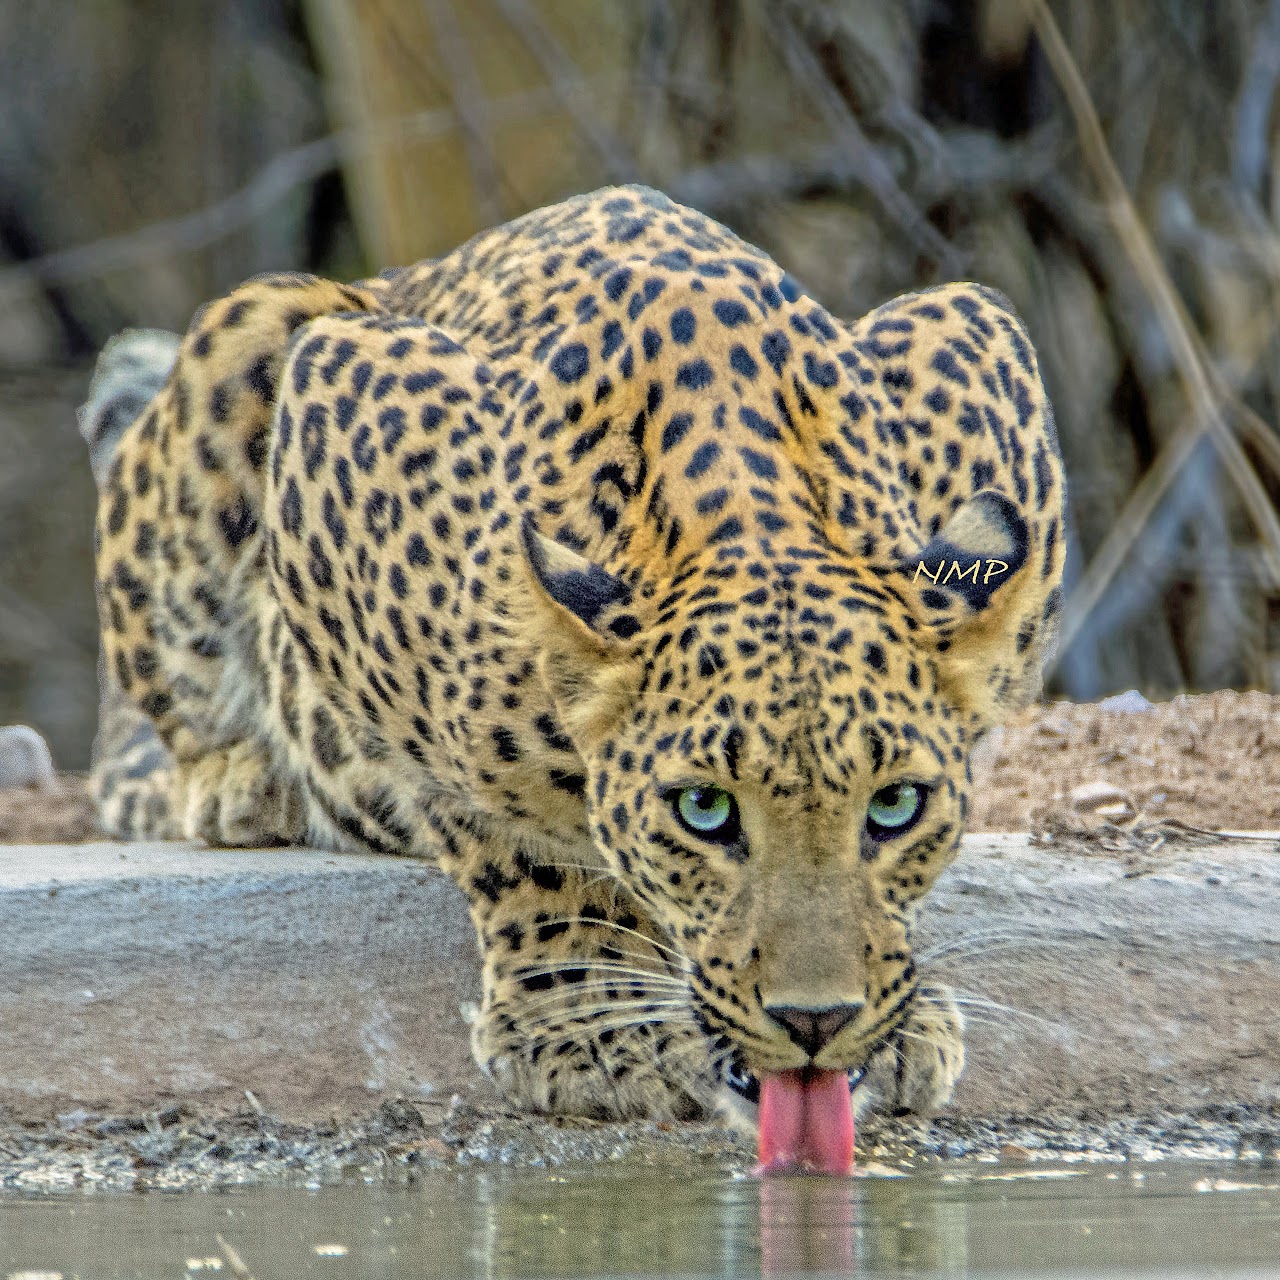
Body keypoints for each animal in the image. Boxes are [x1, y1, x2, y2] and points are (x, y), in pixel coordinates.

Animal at [81, 184, 1065, 1133]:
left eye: (895, 806)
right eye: (704, 811)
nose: (816, 1022)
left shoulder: (974, 330)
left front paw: (902, 1016)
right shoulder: (342, 386)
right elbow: (515, 836)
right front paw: (591, 1023)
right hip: (255, 331)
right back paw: (245, 779)